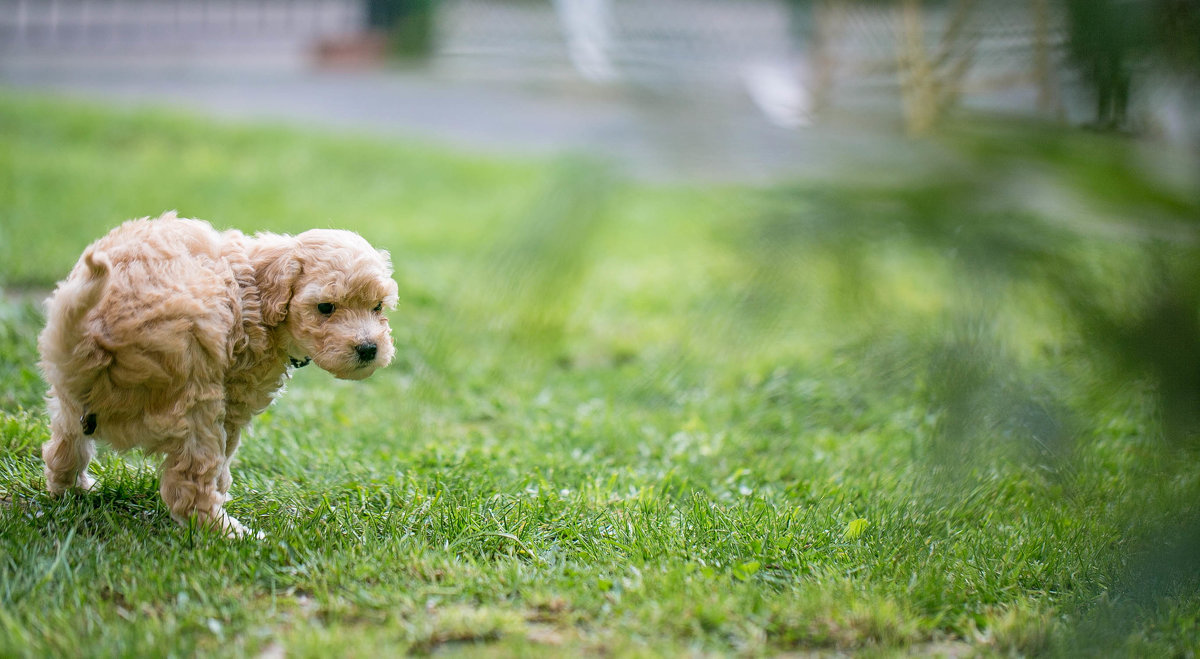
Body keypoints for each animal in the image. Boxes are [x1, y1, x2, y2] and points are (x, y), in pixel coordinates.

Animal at [37, 213, 398, 537]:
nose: (368, 348)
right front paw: (223, 487)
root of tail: (94, 335)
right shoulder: (236, 396)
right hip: (195, 404)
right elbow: (227, 452)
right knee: (189, 487)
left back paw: (72, 491)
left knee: (64, 448)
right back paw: (232, 534)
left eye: (378, 306)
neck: (257, 293)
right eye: (325, 308)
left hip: (69, 400)